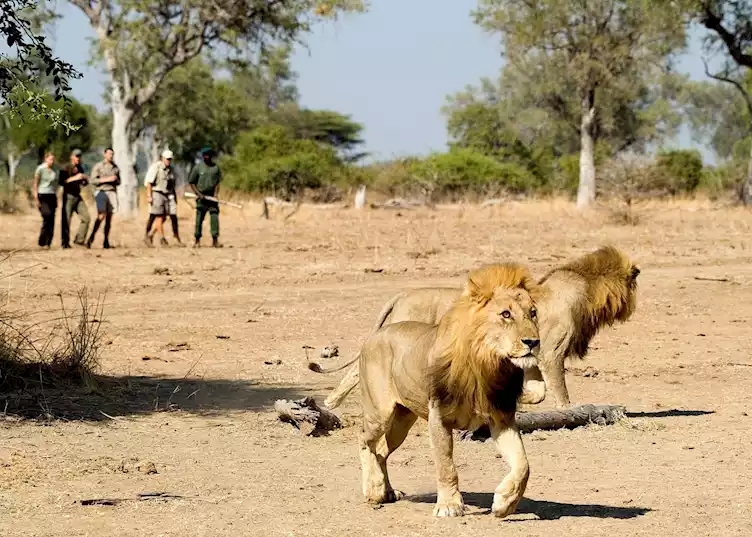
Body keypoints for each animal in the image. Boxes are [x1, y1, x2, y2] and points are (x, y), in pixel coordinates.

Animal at [311, 245, 639, 409]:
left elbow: (538, 390)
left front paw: (521, 400)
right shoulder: (551, 353)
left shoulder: (532, 354)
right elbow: (558, 390)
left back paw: (330, 403)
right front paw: (566, 410)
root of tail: (401, 294)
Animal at [358, 263, 541, 517]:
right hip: (380, 414)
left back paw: (388, 492)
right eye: (506, 314)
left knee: (382, 450)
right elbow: (446, 465)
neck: (487, 363)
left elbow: (523, 464)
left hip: (402, 421)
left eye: (532, 313)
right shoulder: (438, 417)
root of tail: (375, 335)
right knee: (365, 441)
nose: (533, 342)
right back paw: (373, 489)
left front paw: (505, 502)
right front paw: (449, 505)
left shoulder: (501, 418)